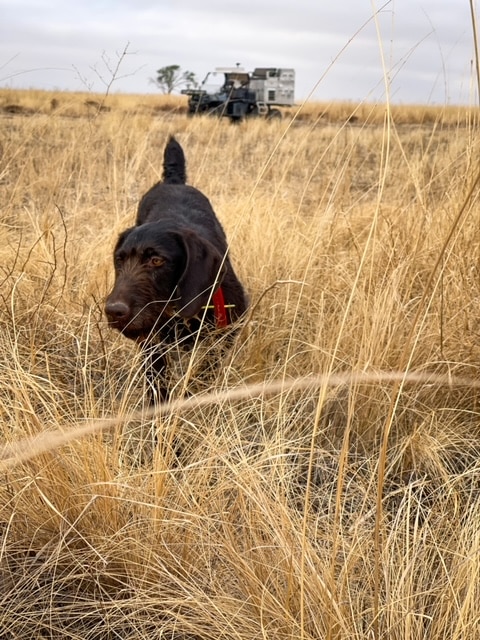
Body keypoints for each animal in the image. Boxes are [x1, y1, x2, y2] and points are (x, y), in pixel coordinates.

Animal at [105, 136, 247, 402]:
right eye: (119, 260)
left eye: (157, 261)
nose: (114, 311)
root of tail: (173, 181)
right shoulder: (152, 343)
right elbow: (157, 383)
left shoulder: (225, 333)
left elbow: (206, 372)